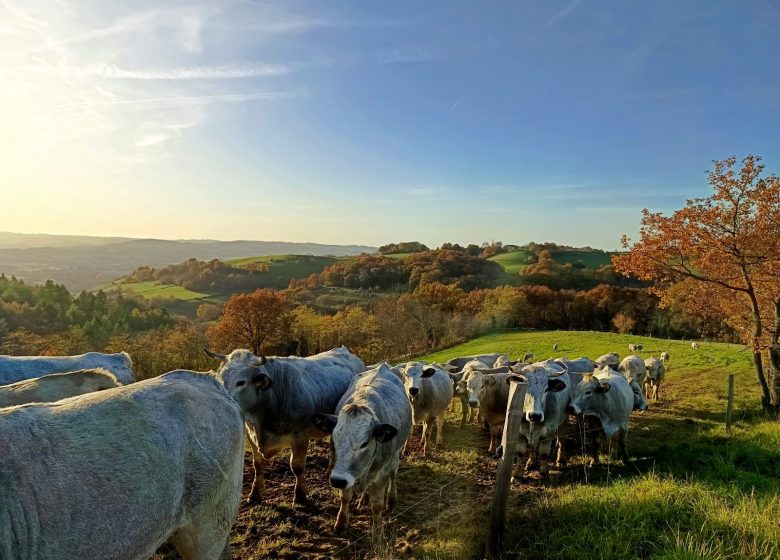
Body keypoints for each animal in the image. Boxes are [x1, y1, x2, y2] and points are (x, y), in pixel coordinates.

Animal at [207, 346, 366, 504]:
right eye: (219, 380)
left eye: (240, 382)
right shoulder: (251, 435)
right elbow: (257, 465)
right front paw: (255, 494)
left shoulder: (301, 437)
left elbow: (297, 467)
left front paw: (300, 496)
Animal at [312, 364, 414, 532]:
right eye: (334, 438)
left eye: (364, 443)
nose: (338, 481)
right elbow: (345, 497)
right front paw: (341, 522)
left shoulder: (381, 473)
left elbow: (377, 506)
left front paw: (377, 530)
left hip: (396, 454)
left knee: (394, 471)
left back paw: (392, 499)